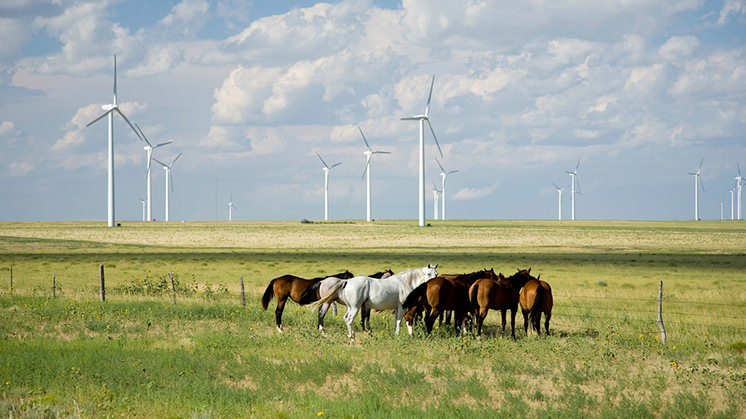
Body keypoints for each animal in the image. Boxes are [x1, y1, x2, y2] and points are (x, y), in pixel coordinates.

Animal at [308, 264, 436, 340]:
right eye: (429, 273)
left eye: (436, 274)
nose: (433, 283)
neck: (404, 282)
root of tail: (346, 282)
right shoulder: (401, 307)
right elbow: (399, 321)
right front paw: (397, 335)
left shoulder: (396, 308)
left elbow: (396, 321)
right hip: (354, 307)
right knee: (348, 319)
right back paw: (351, 336)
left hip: (350, 307)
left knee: (345, 318)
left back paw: (350, 334)